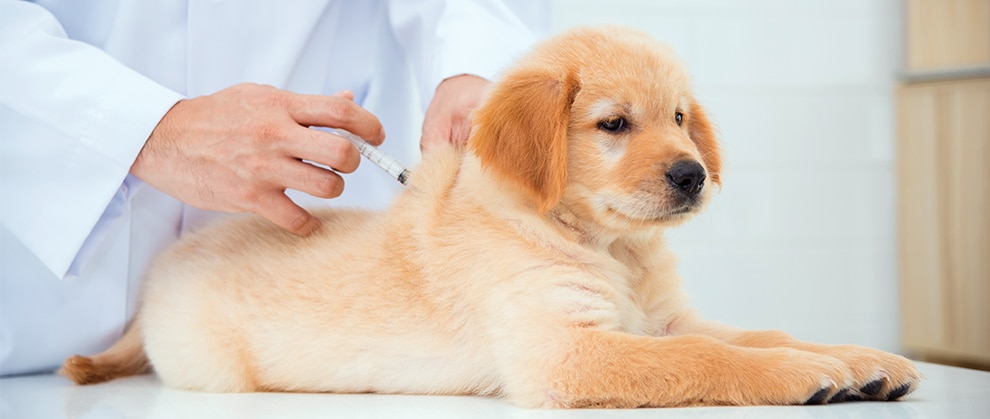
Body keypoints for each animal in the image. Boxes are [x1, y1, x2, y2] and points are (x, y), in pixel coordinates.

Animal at [60, 25, 924, 406]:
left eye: (681, 117)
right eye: (615, 124)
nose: (694, 174)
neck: (612, 249)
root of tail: (159, 277)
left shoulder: (666, 318)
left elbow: (758, 332)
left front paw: (856, 355)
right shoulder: (566, 352)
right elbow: (712, 359)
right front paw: (801, 374)